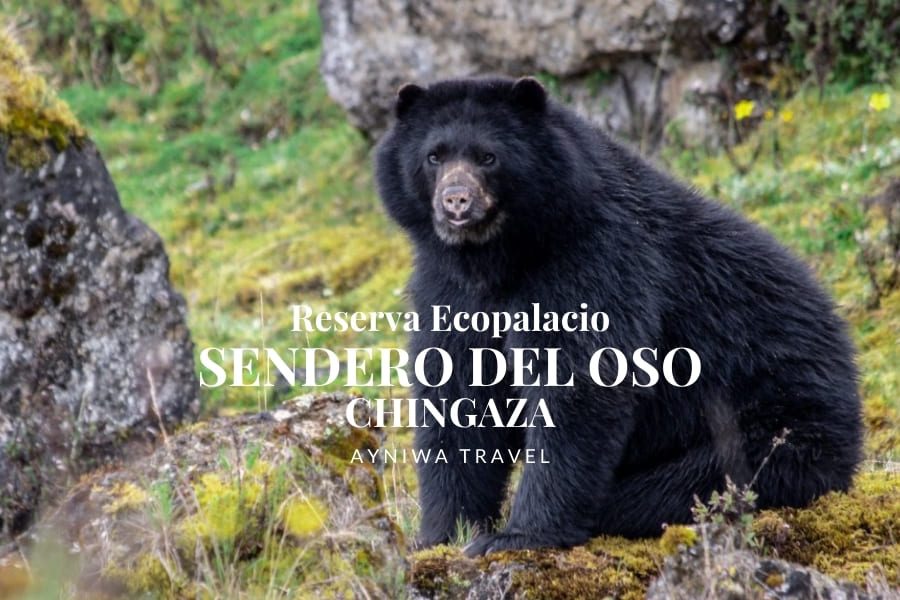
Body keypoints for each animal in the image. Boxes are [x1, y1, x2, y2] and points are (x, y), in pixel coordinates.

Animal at [373, 76, 863, 557]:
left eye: (488, 157)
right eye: (434, 156)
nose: (456, 201)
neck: (497, 259)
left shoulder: (597, 261)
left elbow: (580, 384)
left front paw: (516, 536)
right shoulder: (448, 288)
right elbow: (456, 394)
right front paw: (440, 535)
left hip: (776, 429)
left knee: (689, 484)